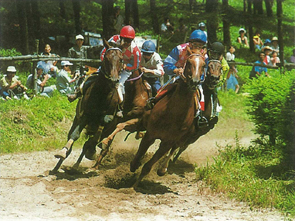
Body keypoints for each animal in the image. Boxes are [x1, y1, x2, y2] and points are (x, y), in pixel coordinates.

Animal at [52, 41, 123, 173]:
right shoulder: (85, 116)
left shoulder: (107, 121)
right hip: (77, 120)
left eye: (121, 59)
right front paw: (63, 152)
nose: (114, 79)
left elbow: (99, 131)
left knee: (91, 143)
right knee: (73, 137)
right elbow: (74, 135)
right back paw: (60, 165)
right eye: (106, 58)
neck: (102, 94)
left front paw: (91, 151)